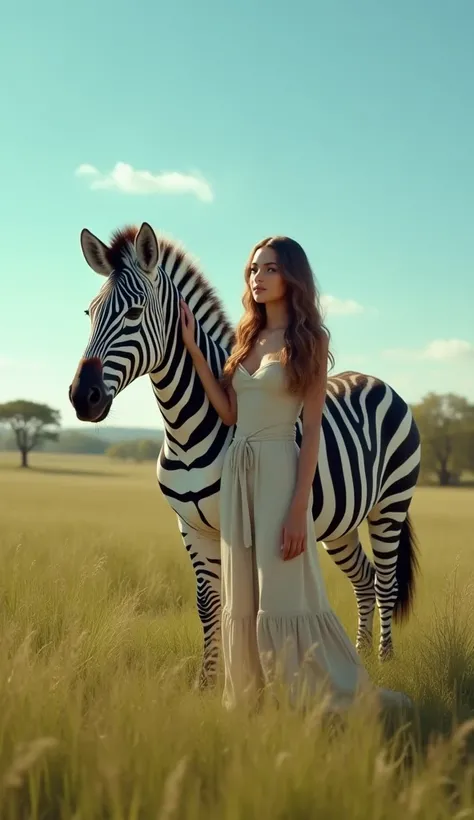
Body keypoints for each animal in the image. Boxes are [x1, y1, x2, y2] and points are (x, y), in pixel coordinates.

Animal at [69, 221, 422, 688]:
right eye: (89, 314)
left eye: (134, 313)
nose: (82, 397)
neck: (184, 430)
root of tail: (376, 380)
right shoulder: (189, 527)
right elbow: (208, 604)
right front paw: (206, 683)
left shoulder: (236, 522)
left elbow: (245, 603)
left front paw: (248, 682)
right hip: (341, 522)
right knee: (364, 580)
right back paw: (362, 661)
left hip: (391, 504)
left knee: (385, 583)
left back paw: (384, 663)